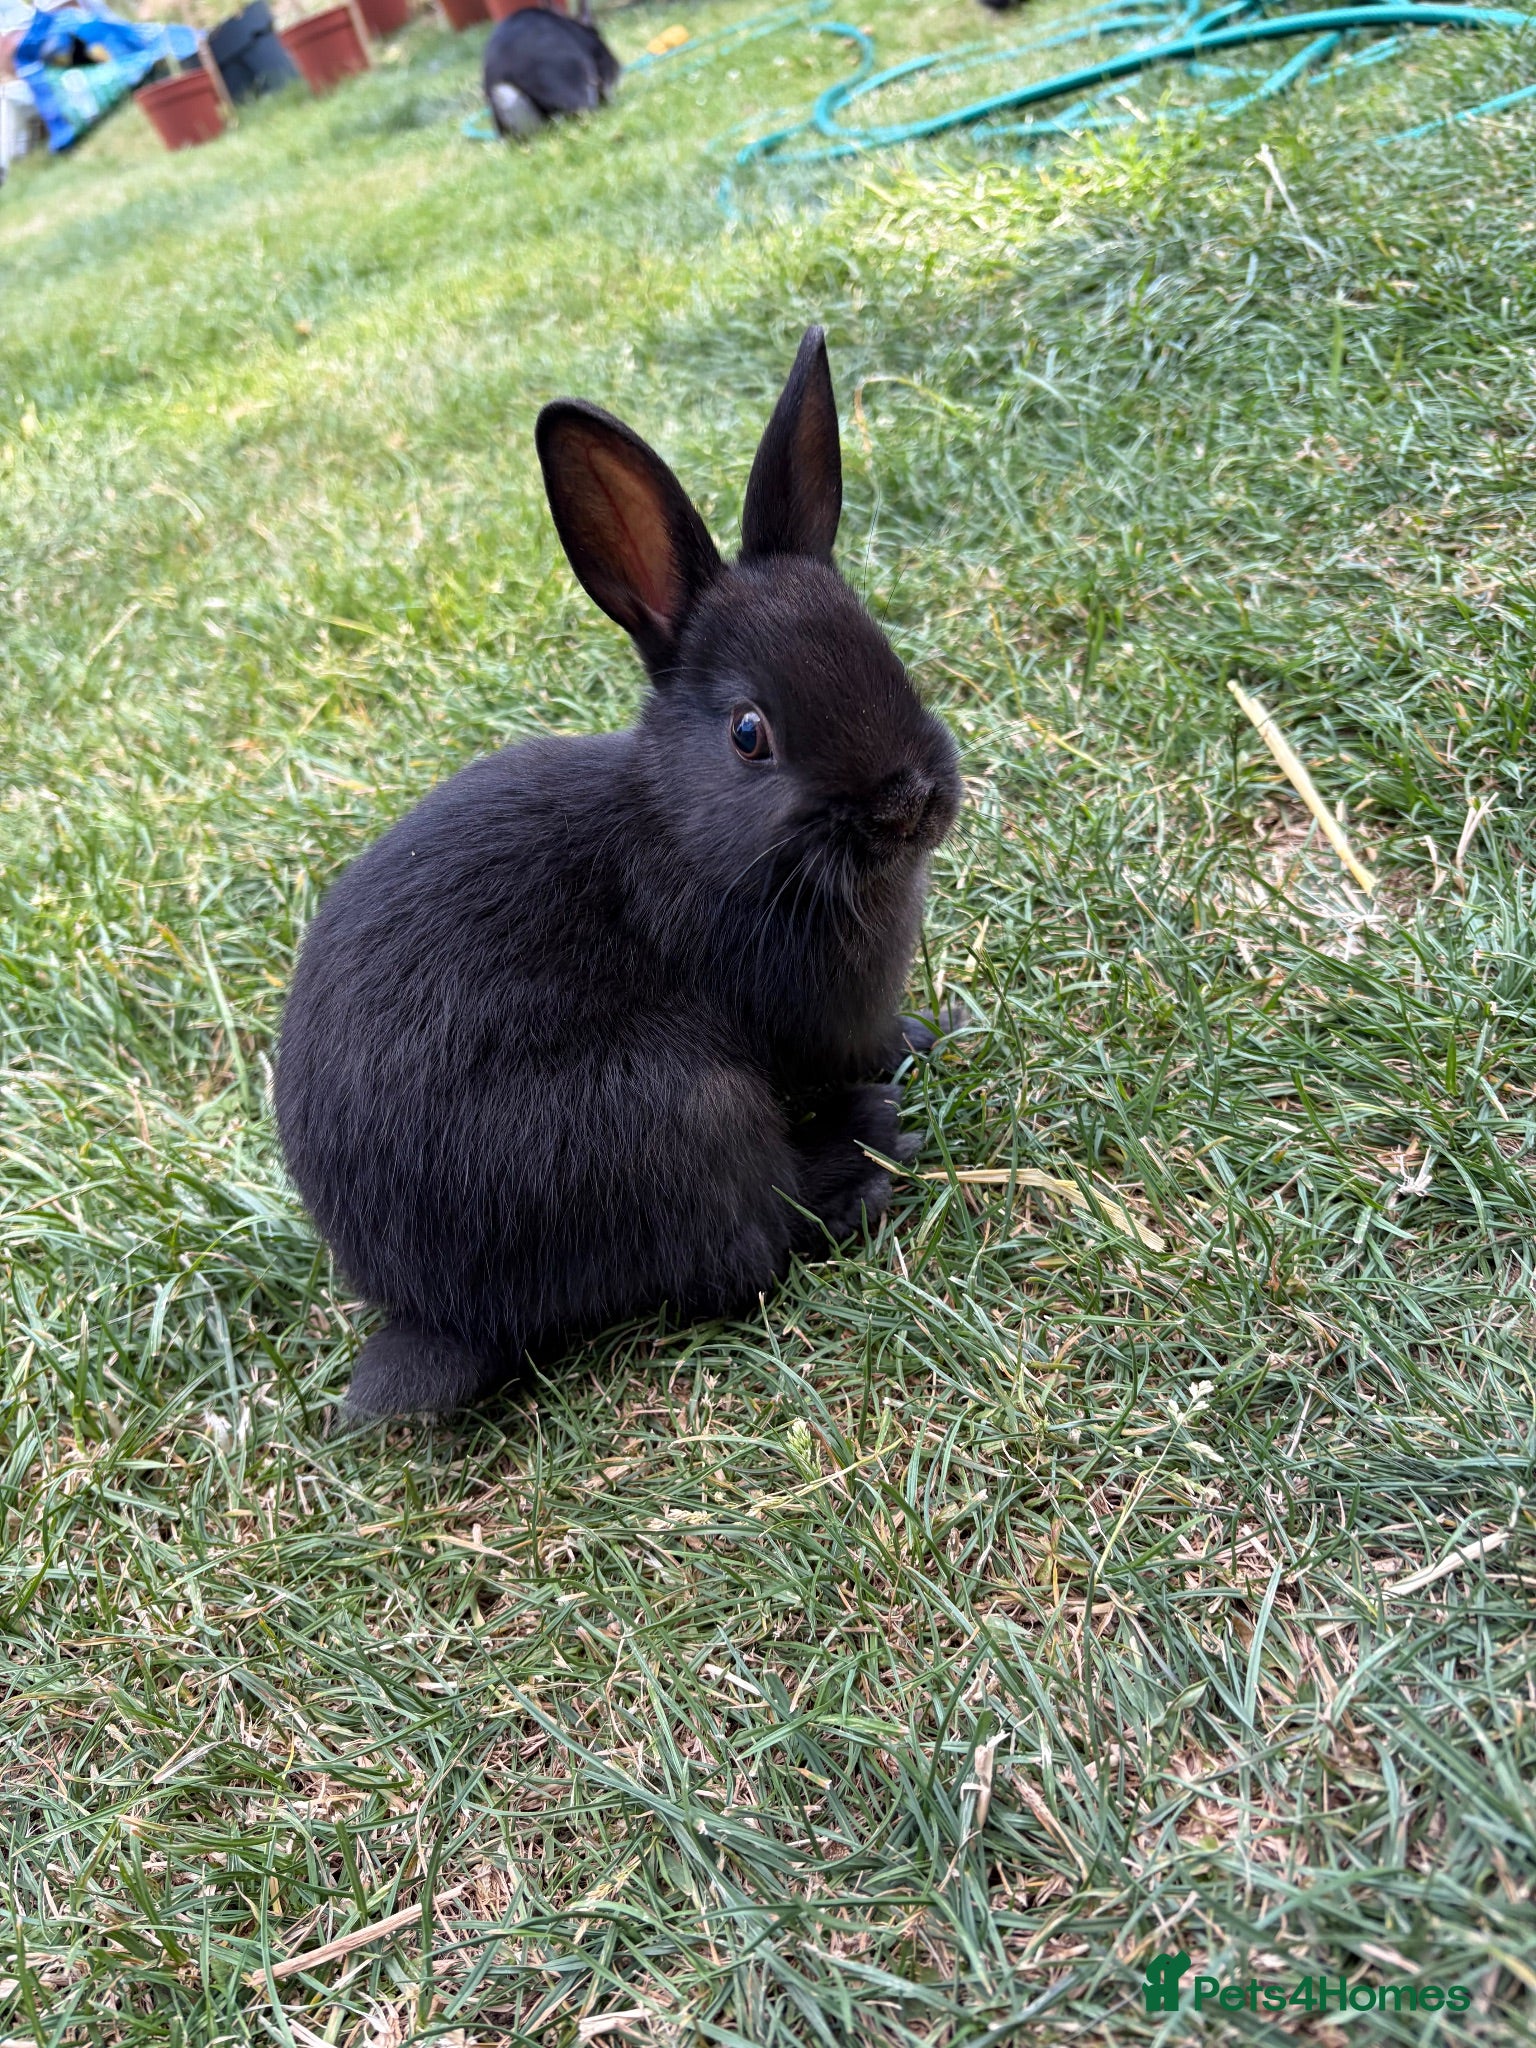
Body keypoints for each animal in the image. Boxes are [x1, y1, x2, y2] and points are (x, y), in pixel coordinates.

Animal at [276, 327, 962, 1419]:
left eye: (884, 652)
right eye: (749, 734)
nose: (909, 803)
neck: (685, 830)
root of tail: (440, 1312)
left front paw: (926, 1035)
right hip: (681, 1111)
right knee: (743, 1254)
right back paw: (865, 1157)